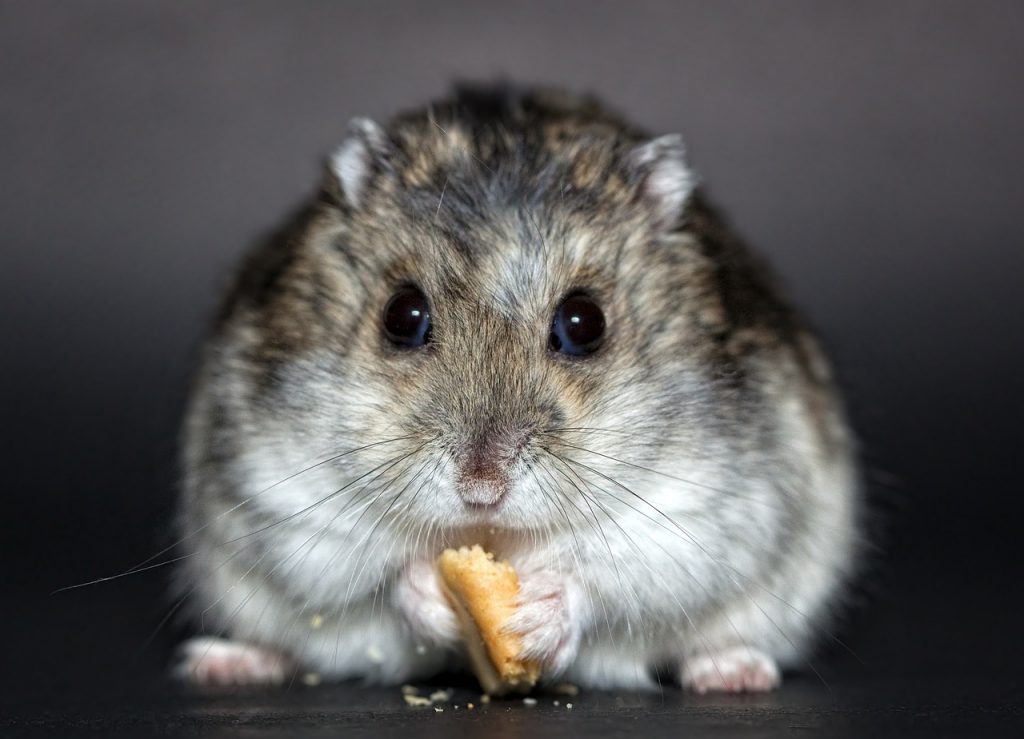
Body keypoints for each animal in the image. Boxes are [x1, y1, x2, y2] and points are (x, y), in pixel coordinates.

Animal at [173, 85, 859, 692]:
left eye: (584, 323)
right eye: (401, 315)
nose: (482, 490)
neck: (496, 537)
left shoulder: (702, 510)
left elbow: (611, 577)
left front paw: (535, 616)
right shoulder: (283, 496)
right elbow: (375, 573)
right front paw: (432, 593)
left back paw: (733, 673)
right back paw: (224, 662)